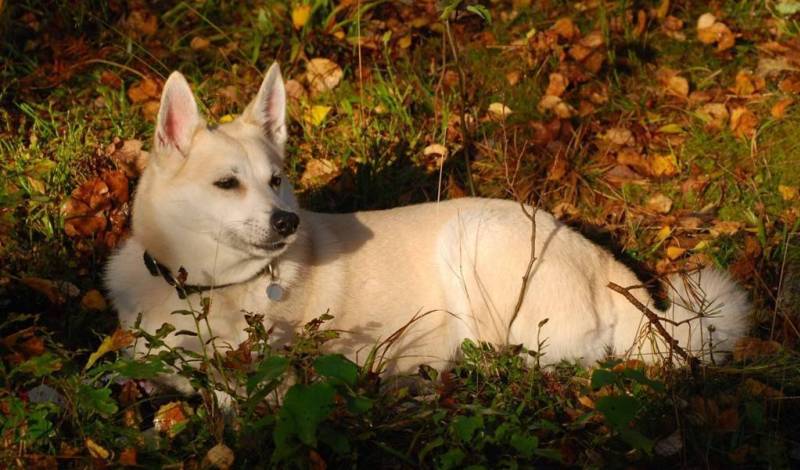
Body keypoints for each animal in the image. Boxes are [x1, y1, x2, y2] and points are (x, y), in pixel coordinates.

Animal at [104, 63, 752, 374]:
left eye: (276, 179)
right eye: (227, 184)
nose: (287, 223)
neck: (202, 289)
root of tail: (609, 269)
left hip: (474, 239)